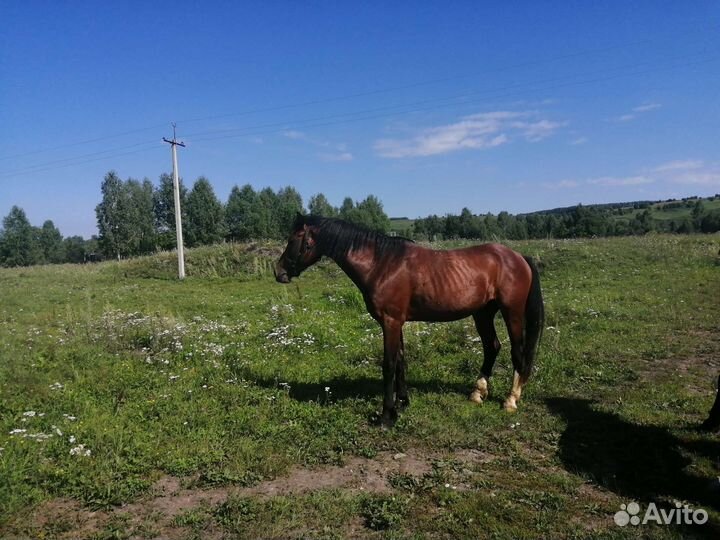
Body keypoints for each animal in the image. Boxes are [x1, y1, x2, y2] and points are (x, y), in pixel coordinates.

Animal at [274, 213, 545, 428]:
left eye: (294, 239)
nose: (279, 272)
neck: (382, 263)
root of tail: (518, 256)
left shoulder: (390, 322)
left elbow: (389, 364)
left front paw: (386, 416)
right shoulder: (397, 322)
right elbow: (401, 361)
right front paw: (403, 403)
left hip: (511, 312)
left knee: (517, 352)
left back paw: (510, 400)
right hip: (483, 313)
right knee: (492, 347)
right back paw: (477, 393)